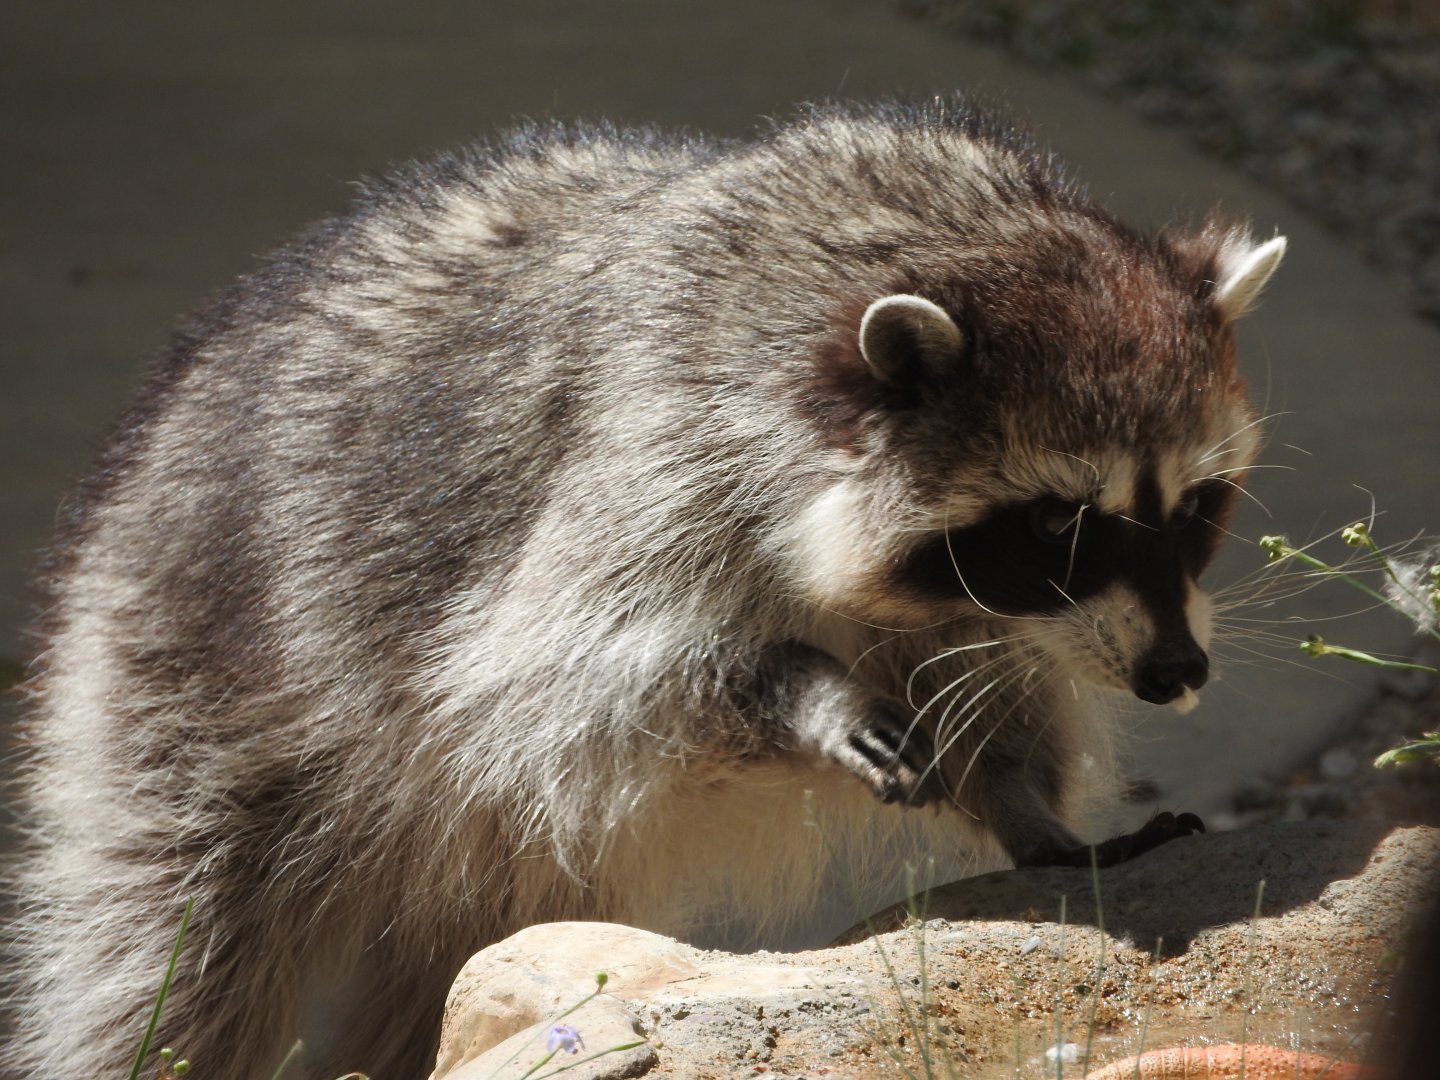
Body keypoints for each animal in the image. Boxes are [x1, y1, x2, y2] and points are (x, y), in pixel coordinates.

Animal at [5, 100, 1284, 1079]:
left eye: (1195, 508)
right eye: (1064, 521)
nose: (1177, 674)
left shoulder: (979, 607)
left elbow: (997, 693)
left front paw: (1032, 815)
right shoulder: (646, 443)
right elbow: (577, 686)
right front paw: (805, 693)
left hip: (479, 854)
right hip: (181, 655)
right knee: (166, 948)